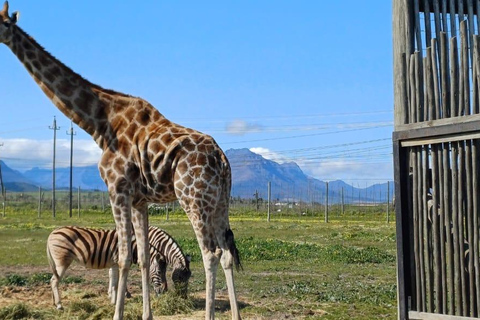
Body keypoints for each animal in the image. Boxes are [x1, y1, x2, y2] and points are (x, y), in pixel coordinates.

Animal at [47, 225, 191, 310]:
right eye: (160, 271)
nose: (183, 297)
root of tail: (52, 233)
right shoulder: (118, 263)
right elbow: (117, 283)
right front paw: (116, 302)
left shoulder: (115, 263)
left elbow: (115, 282)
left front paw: (114, 300)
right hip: (62, 261)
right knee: (54, 280)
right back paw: (59, 305)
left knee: (53, 280)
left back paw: (54, 302)